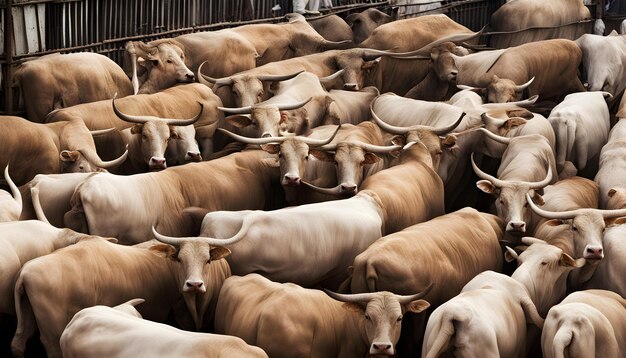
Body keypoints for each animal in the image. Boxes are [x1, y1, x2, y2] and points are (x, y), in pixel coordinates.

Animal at [11, 235, 232, 358]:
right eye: (180, 259)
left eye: (208, 260)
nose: (194, 284)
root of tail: (25, 272)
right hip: (52, 326)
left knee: (18, 342)